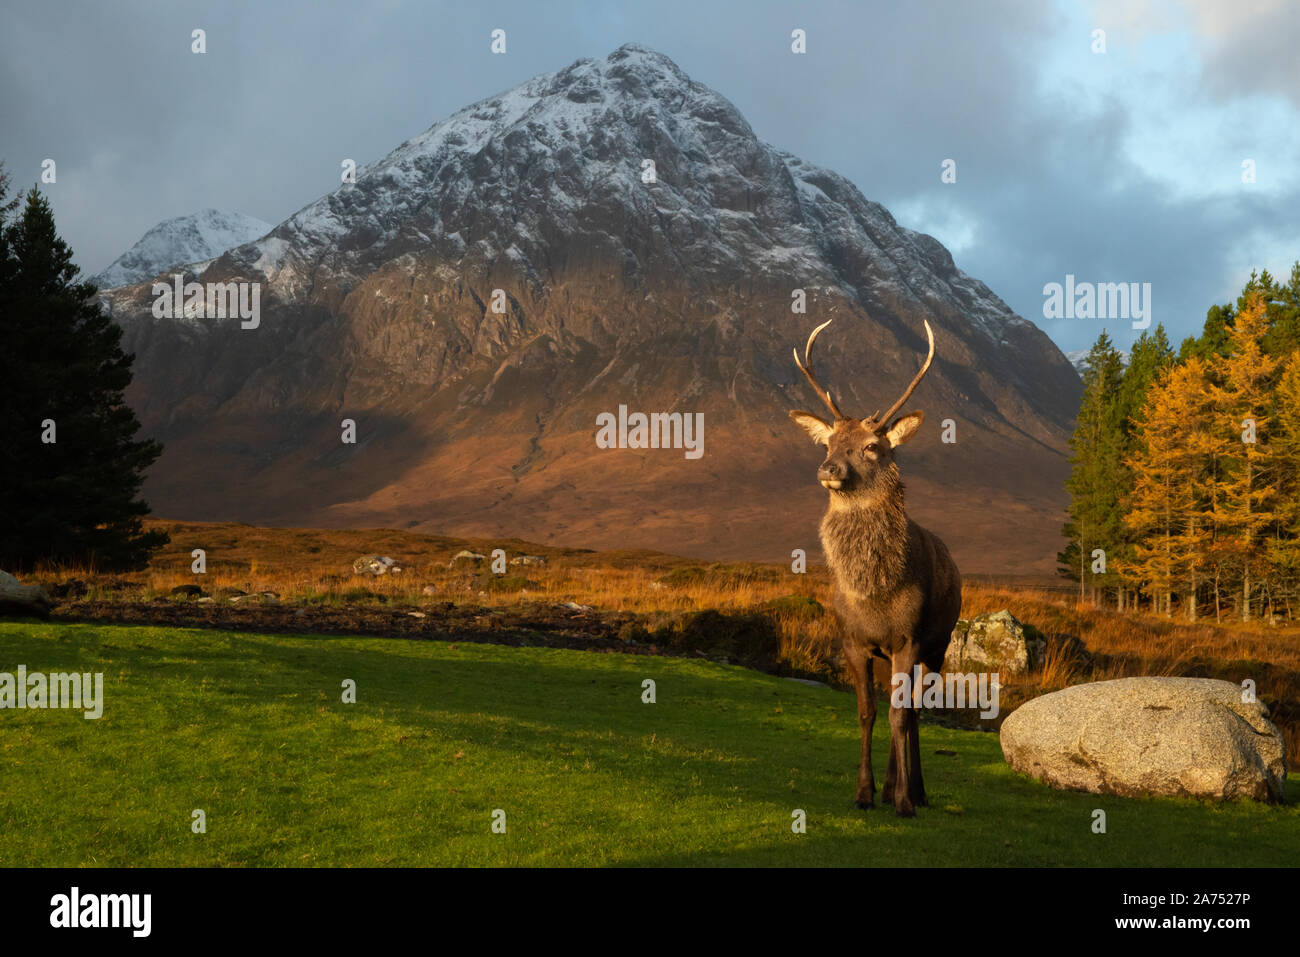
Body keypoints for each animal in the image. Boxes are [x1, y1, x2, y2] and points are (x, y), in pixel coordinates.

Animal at [789, 318, 962, 817]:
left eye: (871, 446)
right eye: (829, 441)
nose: (828, 468)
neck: (875, 592)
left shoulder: (909, 639)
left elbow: (900, 715)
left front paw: (904, 800)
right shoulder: (854, 641)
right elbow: (868, 712)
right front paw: (865, 792)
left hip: (939, 646)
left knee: (914, 711)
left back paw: (915, 790)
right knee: (897, 707)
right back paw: (889, 788)